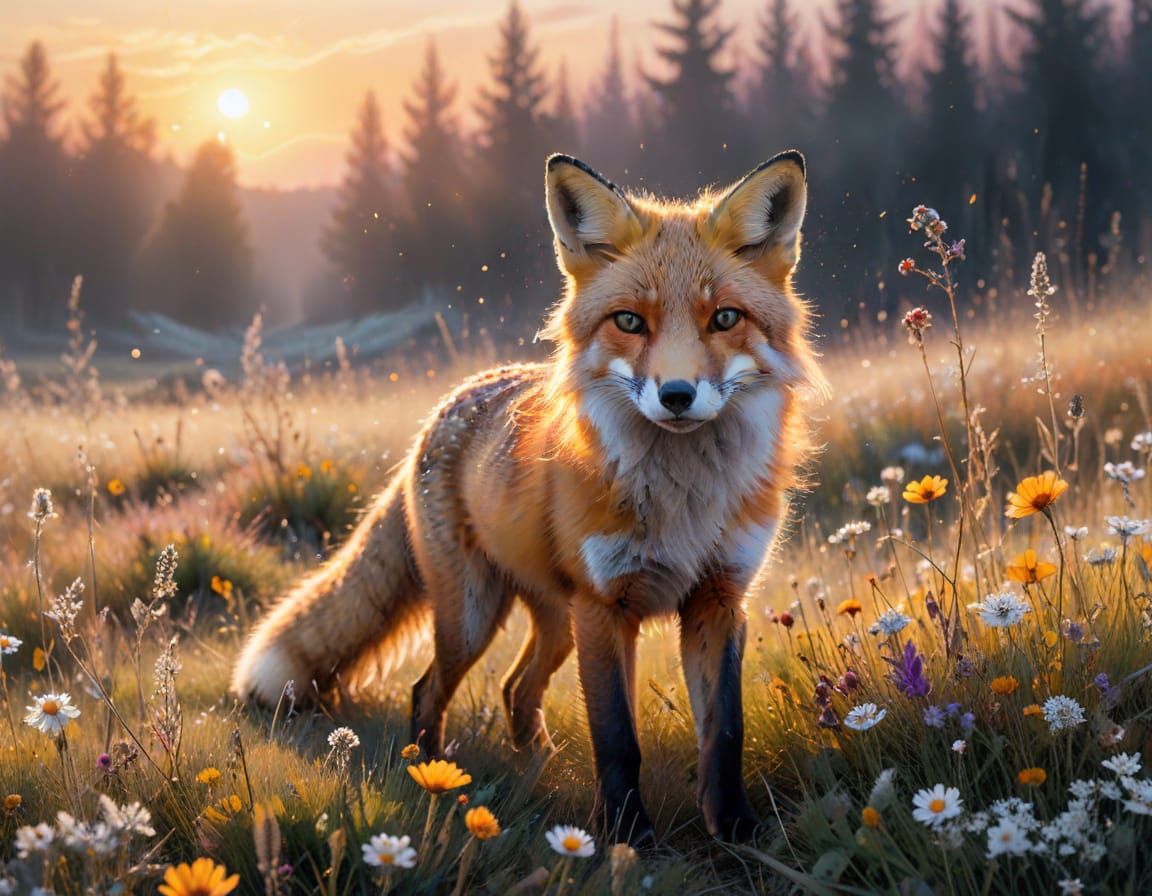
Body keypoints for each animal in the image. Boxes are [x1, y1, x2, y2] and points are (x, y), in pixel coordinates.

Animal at [231, 150, 824, 844]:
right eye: (629, 321)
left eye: (725, 318)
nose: (676, 395)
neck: (683, 502)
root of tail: (445, 408)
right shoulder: (604, 607)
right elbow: (617, 739)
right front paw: (625, 836)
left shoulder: (718, 601)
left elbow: (724, 733)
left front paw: (735, 828)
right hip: (474, 615)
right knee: (427, 691)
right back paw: (431, 777)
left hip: (555, 622)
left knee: (517, 689)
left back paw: (539, 763)